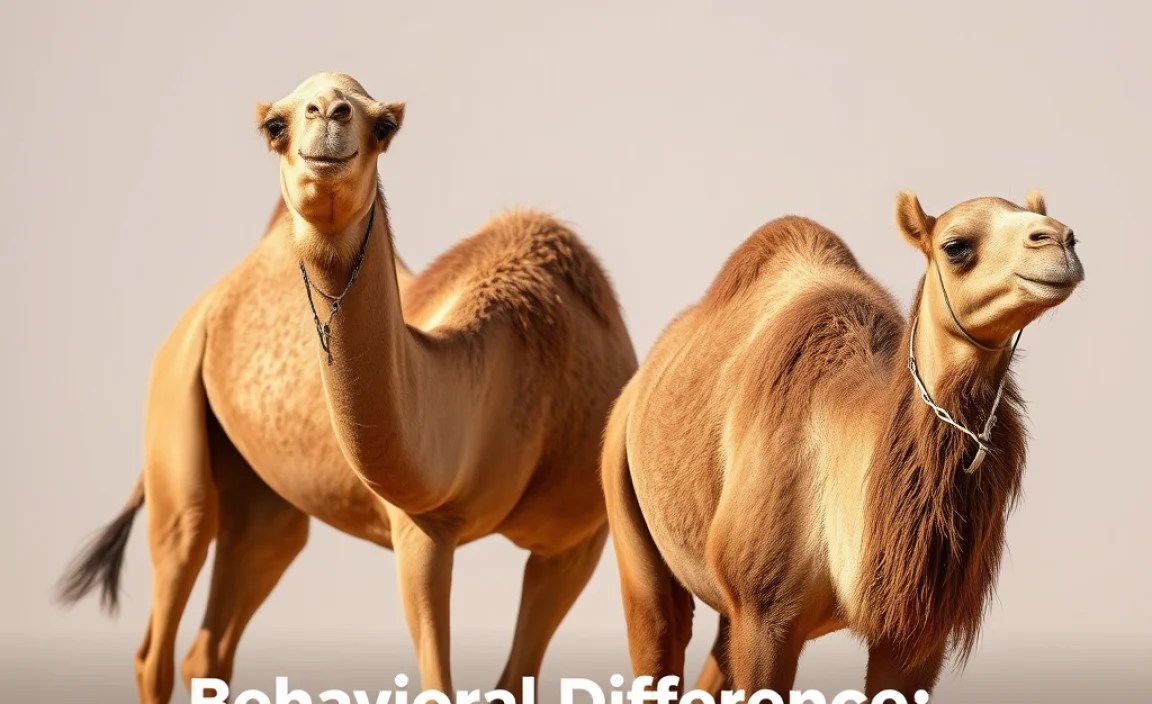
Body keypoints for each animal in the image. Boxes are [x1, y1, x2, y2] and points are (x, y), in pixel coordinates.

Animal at [57, 72, 637, 703]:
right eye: (275, 125)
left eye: (383, 125)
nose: (327, 113)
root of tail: (203, 309)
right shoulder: (420, 529)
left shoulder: (576, 543)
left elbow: (515, 679)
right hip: (174, 423)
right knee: (166, 607)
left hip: (264, 507)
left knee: (218, 629)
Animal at [601, 191, 1083, 698]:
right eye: (955, 246)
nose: (1060, 240)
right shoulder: (764, 613)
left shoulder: (915, 630)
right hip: (629, 512)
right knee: (660, 627)